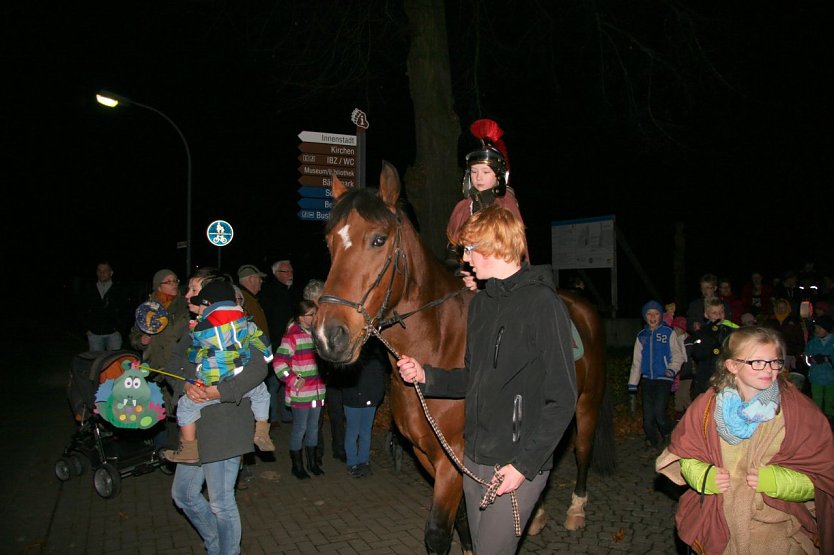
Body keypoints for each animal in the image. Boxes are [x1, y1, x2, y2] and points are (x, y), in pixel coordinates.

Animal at [310, 159, 612, 552]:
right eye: (330, 242)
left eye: (378, 239)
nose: (328, 336)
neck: (437, 342)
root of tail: (582, 306)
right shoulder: (429, 455)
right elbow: (465, 520)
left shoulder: (451, 459)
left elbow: (438, 531)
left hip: (587, 404)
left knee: (581, 450)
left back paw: (576, 510)